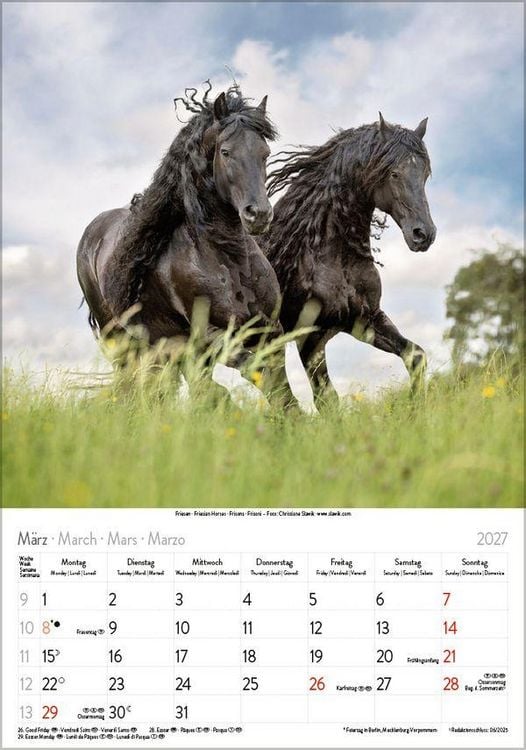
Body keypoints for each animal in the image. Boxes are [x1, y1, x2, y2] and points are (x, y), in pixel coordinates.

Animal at [76, 84, 281, 376]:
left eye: (265, 153)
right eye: (226, 152)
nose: (259, 214)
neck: (231, 259)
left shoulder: (271, 332)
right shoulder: (209, 338)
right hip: (123, 342)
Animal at [264, 113, 437, 408]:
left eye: (425, 174)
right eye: (394, 173)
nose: (423, 234)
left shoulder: (365, 320)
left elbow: (415, 356)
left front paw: (415, 409)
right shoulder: (309, 337)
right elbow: (327, 399)